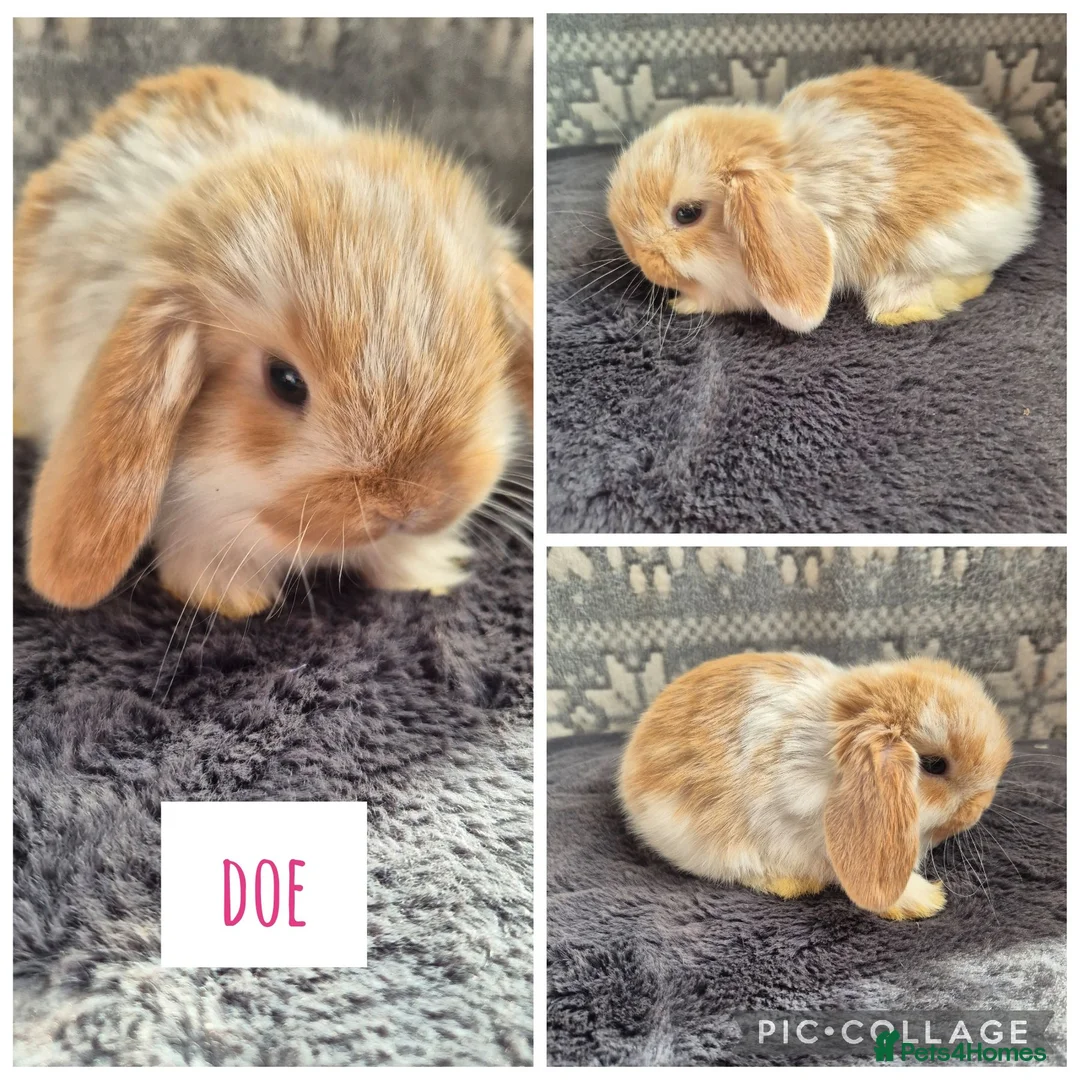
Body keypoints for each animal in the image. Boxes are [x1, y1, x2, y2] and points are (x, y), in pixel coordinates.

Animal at [607, 67, 1038, 332]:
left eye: (687, 214)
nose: (638, 258)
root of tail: (1023, 186)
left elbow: (715, 299)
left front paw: (681, 303)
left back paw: (901, 310)